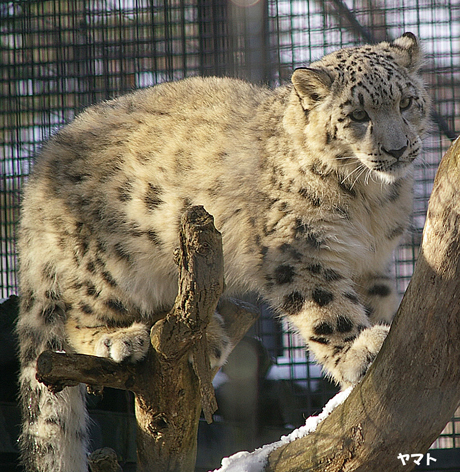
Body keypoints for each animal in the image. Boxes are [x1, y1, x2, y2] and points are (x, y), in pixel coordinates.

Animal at [16, 31, 430, 470]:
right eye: (358, 115)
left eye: (406, 101)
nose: (397, 148)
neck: (372, 200)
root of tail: (37, 175)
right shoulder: (298, 251)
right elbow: (327, 309)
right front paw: (358, 349)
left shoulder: (371, 261)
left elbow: (376, 301)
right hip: (108, 267)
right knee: (74, 317)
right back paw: (120, 339)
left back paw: (209, 339)